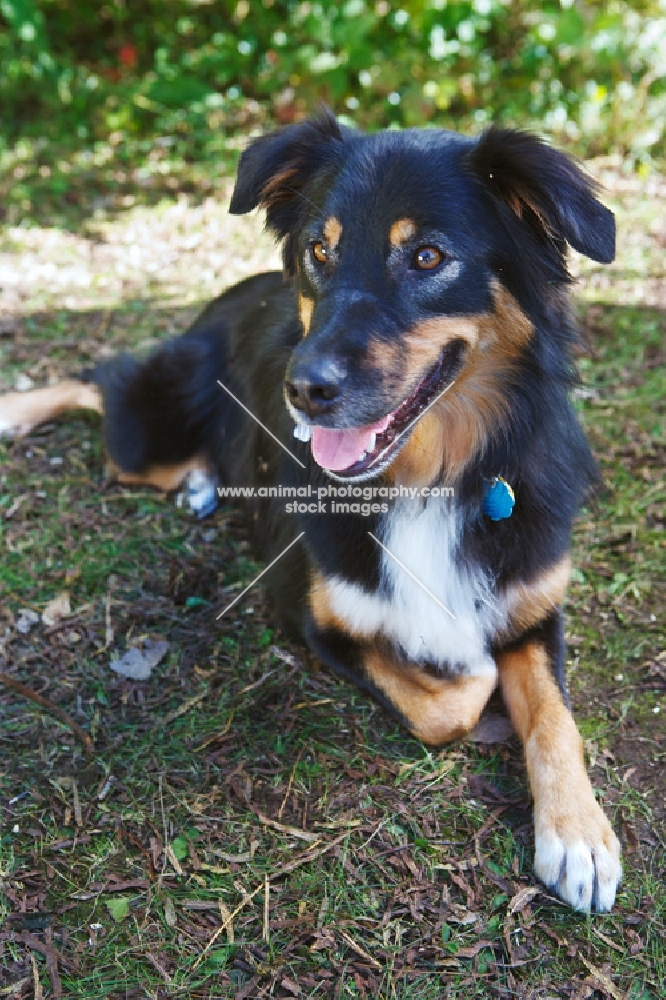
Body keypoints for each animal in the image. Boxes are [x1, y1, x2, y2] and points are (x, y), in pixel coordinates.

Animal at [1, 109, 624, 916]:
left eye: (428, 256)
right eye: (319, 251)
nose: (304, 391)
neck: (427, 479)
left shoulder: (535, 602)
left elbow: (554, 715)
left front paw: (578, 832)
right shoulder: (311, 616)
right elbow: (452, 699)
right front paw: (465, 670)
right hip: (146, 433)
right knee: (100, 385)